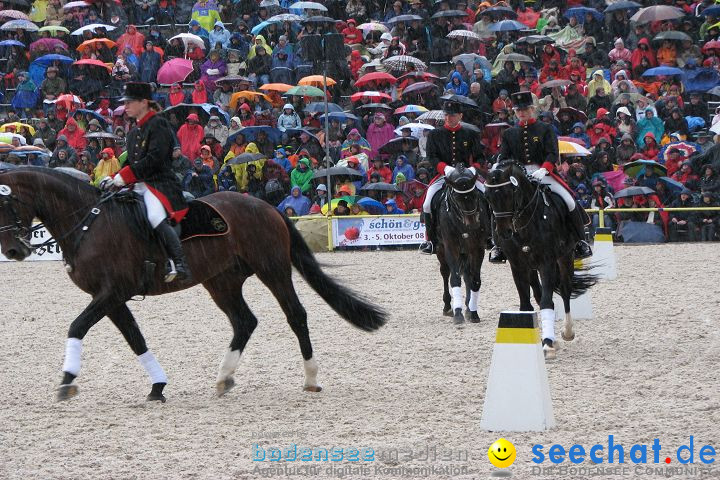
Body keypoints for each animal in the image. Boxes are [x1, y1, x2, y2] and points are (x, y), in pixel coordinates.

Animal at [0, 168, 388, 402]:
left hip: (273, 270)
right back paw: (224, 378)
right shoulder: (111, 297)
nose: (13, 250)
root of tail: (265, 205)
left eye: (6, 201)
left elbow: (77, 326)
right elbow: (135, 339)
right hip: (222, 281)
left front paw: (67, 380)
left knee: (296, 315)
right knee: (245, 321)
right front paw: (157, 386)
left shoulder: (112, 293)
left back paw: (309, 378)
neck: (88, 221)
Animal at [430, 165, 492, 326]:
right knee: (445, 273)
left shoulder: (477, 248)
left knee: (467, 274)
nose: (473, 224)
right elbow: (454, 279)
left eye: (475, 195)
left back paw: (468, 307)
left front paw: (473, 313)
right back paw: (448, 307)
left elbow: (474, 279)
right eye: (457, 198)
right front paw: (458, 314)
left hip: (466, 251)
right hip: (441, 250)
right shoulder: (451, 247)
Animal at [486, 161, 600, 360]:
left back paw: (566, 332)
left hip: (565, 258)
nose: (504, 232)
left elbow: (548, 302)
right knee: (539, 294)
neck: (525, 223)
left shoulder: (547, 263)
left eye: (509, 193)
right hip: (531, 267)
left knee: (565, 290)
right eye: (488, 197)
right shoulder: (518, 266)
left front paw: (548, 344)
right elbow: (526, 304)